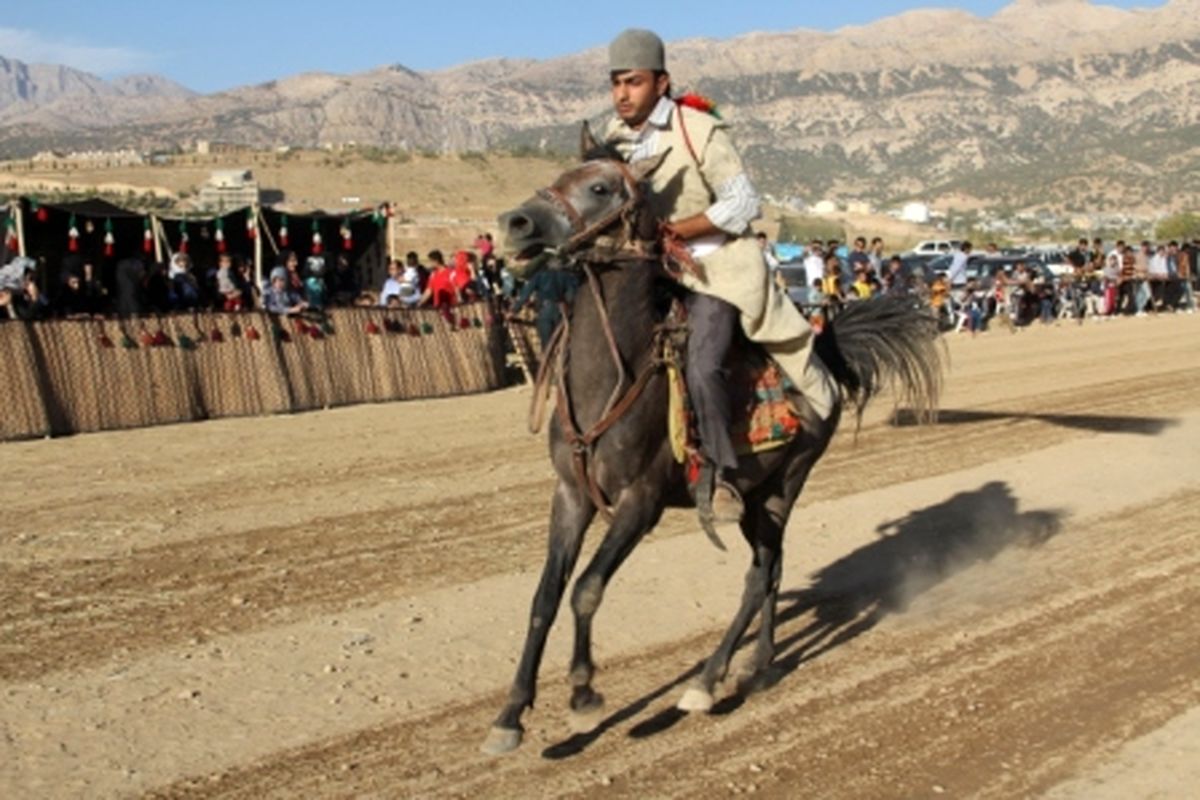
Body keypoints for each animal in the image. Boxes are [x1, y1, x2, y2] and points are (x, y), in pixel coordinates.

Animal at [482, 126, 940, 758]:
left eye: (600, 187)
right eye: (558, 176)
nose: (515, 223)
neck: (614, 376)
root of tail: (823, 351)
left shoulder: (641, 503)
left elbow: (587, 589)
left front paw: (583, 692)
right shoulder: (571, 495)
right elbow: (545, 598)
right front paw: (510, 716)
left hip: (781, 488)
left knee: (758, 575)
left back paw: (706, 681)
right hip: (756, 498)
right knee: (773, 572)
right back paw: (758, 665)